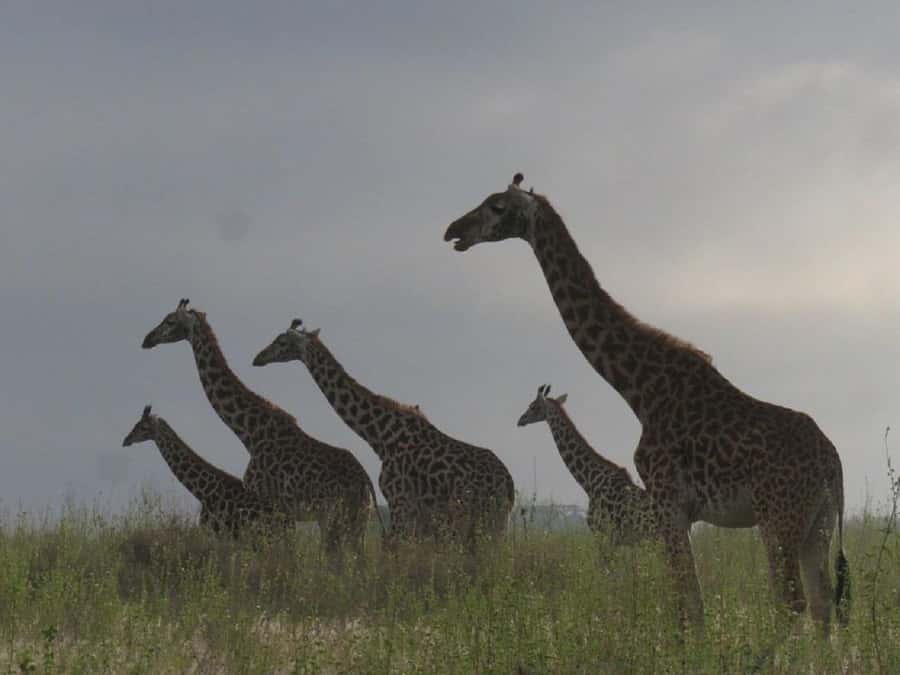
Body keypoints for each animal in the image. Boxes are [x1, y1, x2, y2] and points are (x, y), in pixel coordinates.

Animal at [141, 299, 382, 561]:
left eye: (170, 321)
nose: (147, 339)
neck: (250, 431)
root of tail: (365, 482)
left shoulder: (267, 504)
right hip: (357, 518)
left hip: (334, 517)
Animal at [252, 319, 516, 547]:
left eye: (281, 341)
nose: (258, 358)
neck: (381, 436)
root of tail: (508, 484)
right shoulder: (415, 512)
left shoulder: (400, 503)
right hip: (493, 521)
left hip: (479, 517)